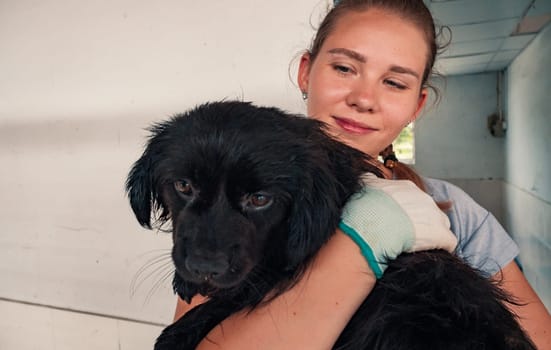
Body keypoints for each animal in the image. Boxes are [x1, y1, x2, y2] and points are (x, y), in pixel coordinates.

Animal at [126, 100, 536, 348]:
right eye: (183, 186)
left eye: (260, 199)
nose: (204, 268)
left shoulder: (282, 264)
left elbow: (239, 292)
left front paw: (176, 333)